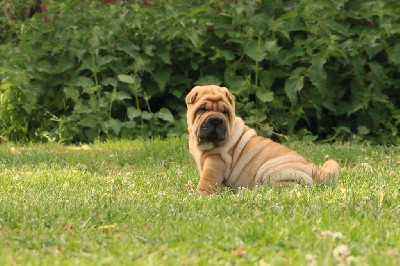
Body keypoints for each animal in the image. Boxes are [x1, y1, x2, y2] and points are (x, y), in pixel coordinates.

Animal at [186, 84, 340, 193]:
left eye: (225, 112)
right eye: (202, 109)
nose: (216, 120)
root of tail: (316, 171)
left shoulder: (216, 161)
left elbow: (207, 180)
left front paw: (199, 194)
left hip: (273, 171)